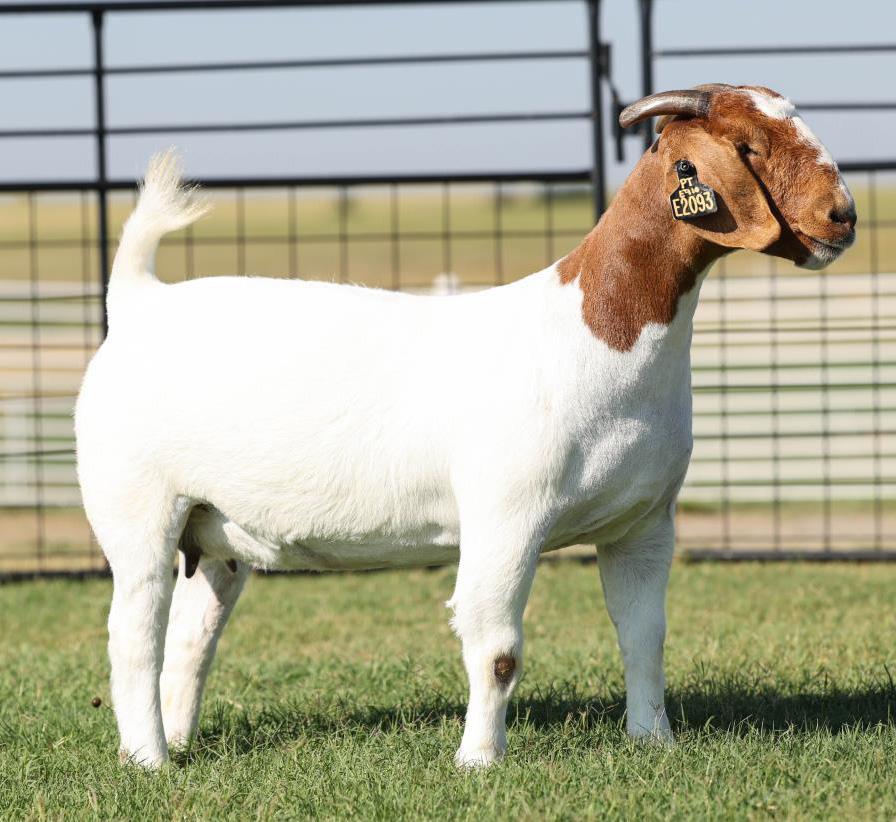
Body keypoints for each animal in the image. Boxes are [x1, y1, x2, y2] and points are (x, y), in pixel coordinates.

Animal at [75, 84, 856, 768]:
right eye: (748, 144)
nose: (842, 215)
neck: (591, 333)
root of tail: (140, 301)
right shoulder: (506, 514)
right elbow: (497, 648)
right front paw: (479, 760)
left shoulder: (642, 522)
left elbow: (645, 637)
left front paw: (652, 743)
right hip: (137, 505)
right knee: (132, 636)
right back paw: (148, 761)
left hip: (214, 530)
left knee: (189, 638)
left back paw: (177, 741)